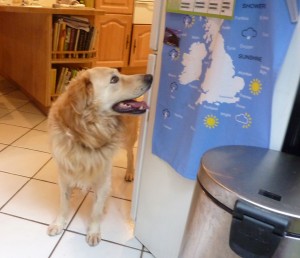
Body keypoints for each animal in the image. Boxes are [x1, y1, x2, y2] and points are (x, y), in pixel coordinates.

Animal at [48, 66, 154, 246]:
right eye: (114, 79)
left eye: (118, 75)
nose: (150, 77)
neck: (86, 134)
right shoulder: (64, 176)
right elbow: (63, 204)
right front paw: (58, 223)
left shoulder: (103, 180)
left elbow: (96, 209)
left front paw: (93, 231)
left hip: (128, 138)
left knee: (130, 154)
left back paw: (130, 172)